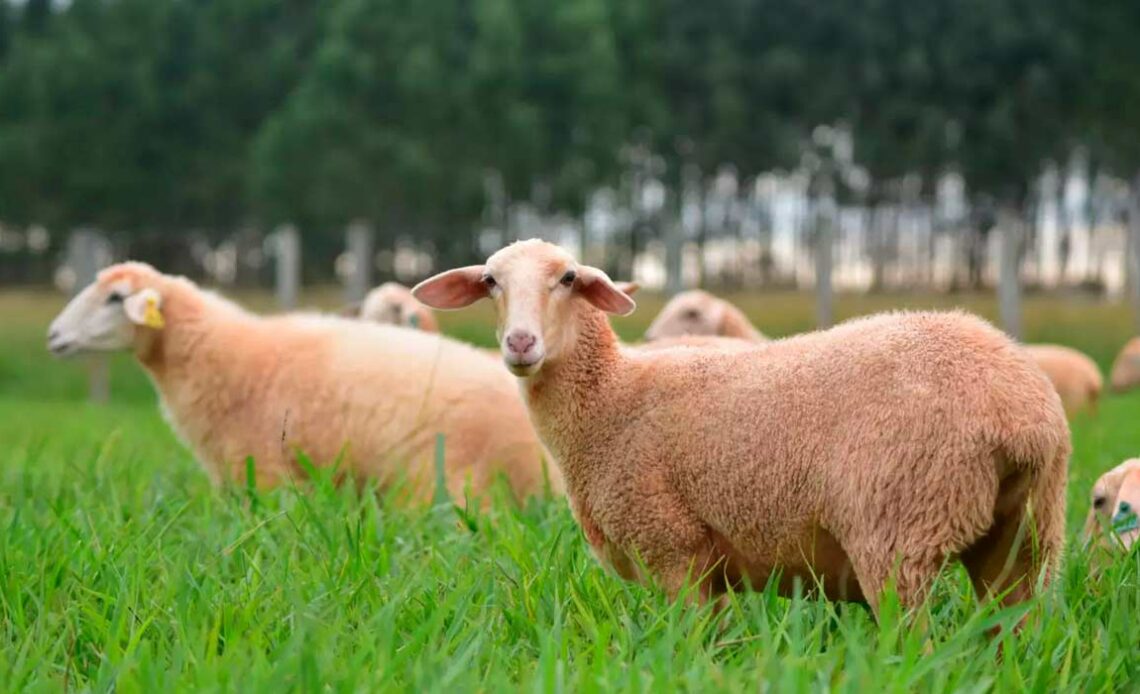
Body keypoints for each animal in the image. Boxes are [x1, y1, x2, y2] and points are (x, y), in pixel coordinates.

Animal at [414, 238, 1071, 610]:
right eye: (490, 282)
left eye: (569, 278)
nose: (520, 343)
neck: (612, 397)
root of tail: (1018, 410)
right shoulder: (714, 568)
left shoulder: (671, 545)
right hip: (1026, 533)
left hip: (900, 528)